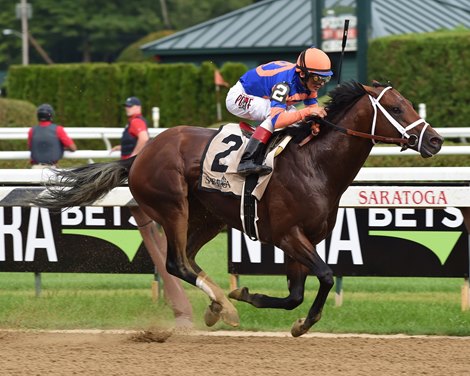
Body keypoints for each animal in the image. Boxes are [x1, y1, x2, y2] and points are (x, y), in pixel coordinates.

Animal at [34, 81, 444, 336]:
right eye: (395, 108)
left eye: (410, 105)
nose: (436, 141)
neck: (315, 164)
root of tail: (138, 155)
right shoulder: (288, 235)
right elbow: (326, 277)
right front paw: (290, 318)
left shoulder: (302, 240)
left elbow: (295, 294)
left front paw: (251, 298)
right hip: (173, 206)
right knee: (176, 262)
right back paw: (223, 307)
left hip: (208, 217)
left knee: (187, 259)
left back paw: (218, 306)